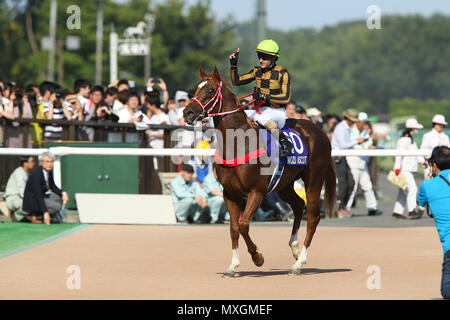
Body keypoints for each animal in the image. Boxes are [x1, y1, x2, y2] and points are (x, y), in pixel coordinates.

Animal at [185, 66, 336, 276]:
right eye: (194, 88)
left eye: (210, 90)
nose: (188, 112)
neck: (237, 143)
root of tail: (320, 132)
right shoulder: (230, 194)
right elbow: (234, 228)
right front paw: (232, 266)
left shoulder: (256, 192)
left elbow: (243, 225)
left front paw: (257, 257)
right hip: (284, 184)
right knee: (298, 205)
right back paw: (295, 249)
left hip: (314, 180)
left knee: (313, 217)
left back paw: (299, 263)